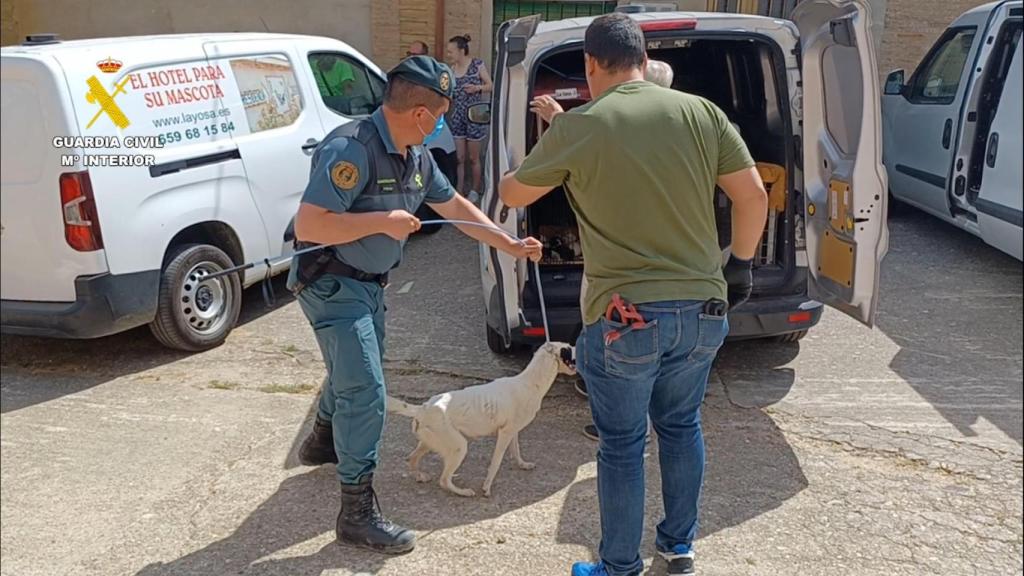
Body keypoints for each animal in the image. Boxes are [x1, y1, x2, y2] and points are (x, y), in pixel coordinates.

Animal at [385, 340, 577, 494]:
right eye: (568, 348)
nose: (578, 344)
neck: (530, 383)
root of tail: (422, 408)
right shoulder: (505, 433)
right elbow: (496, 463)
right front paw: (487, 487)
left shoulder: (512, 431)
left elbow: (516, 451)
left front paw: (522, 464)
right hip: (459, 447)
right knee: (444, 480)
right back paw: (463, 492)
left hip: (429, 443)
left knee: (411, 458)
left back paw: (420, 476)